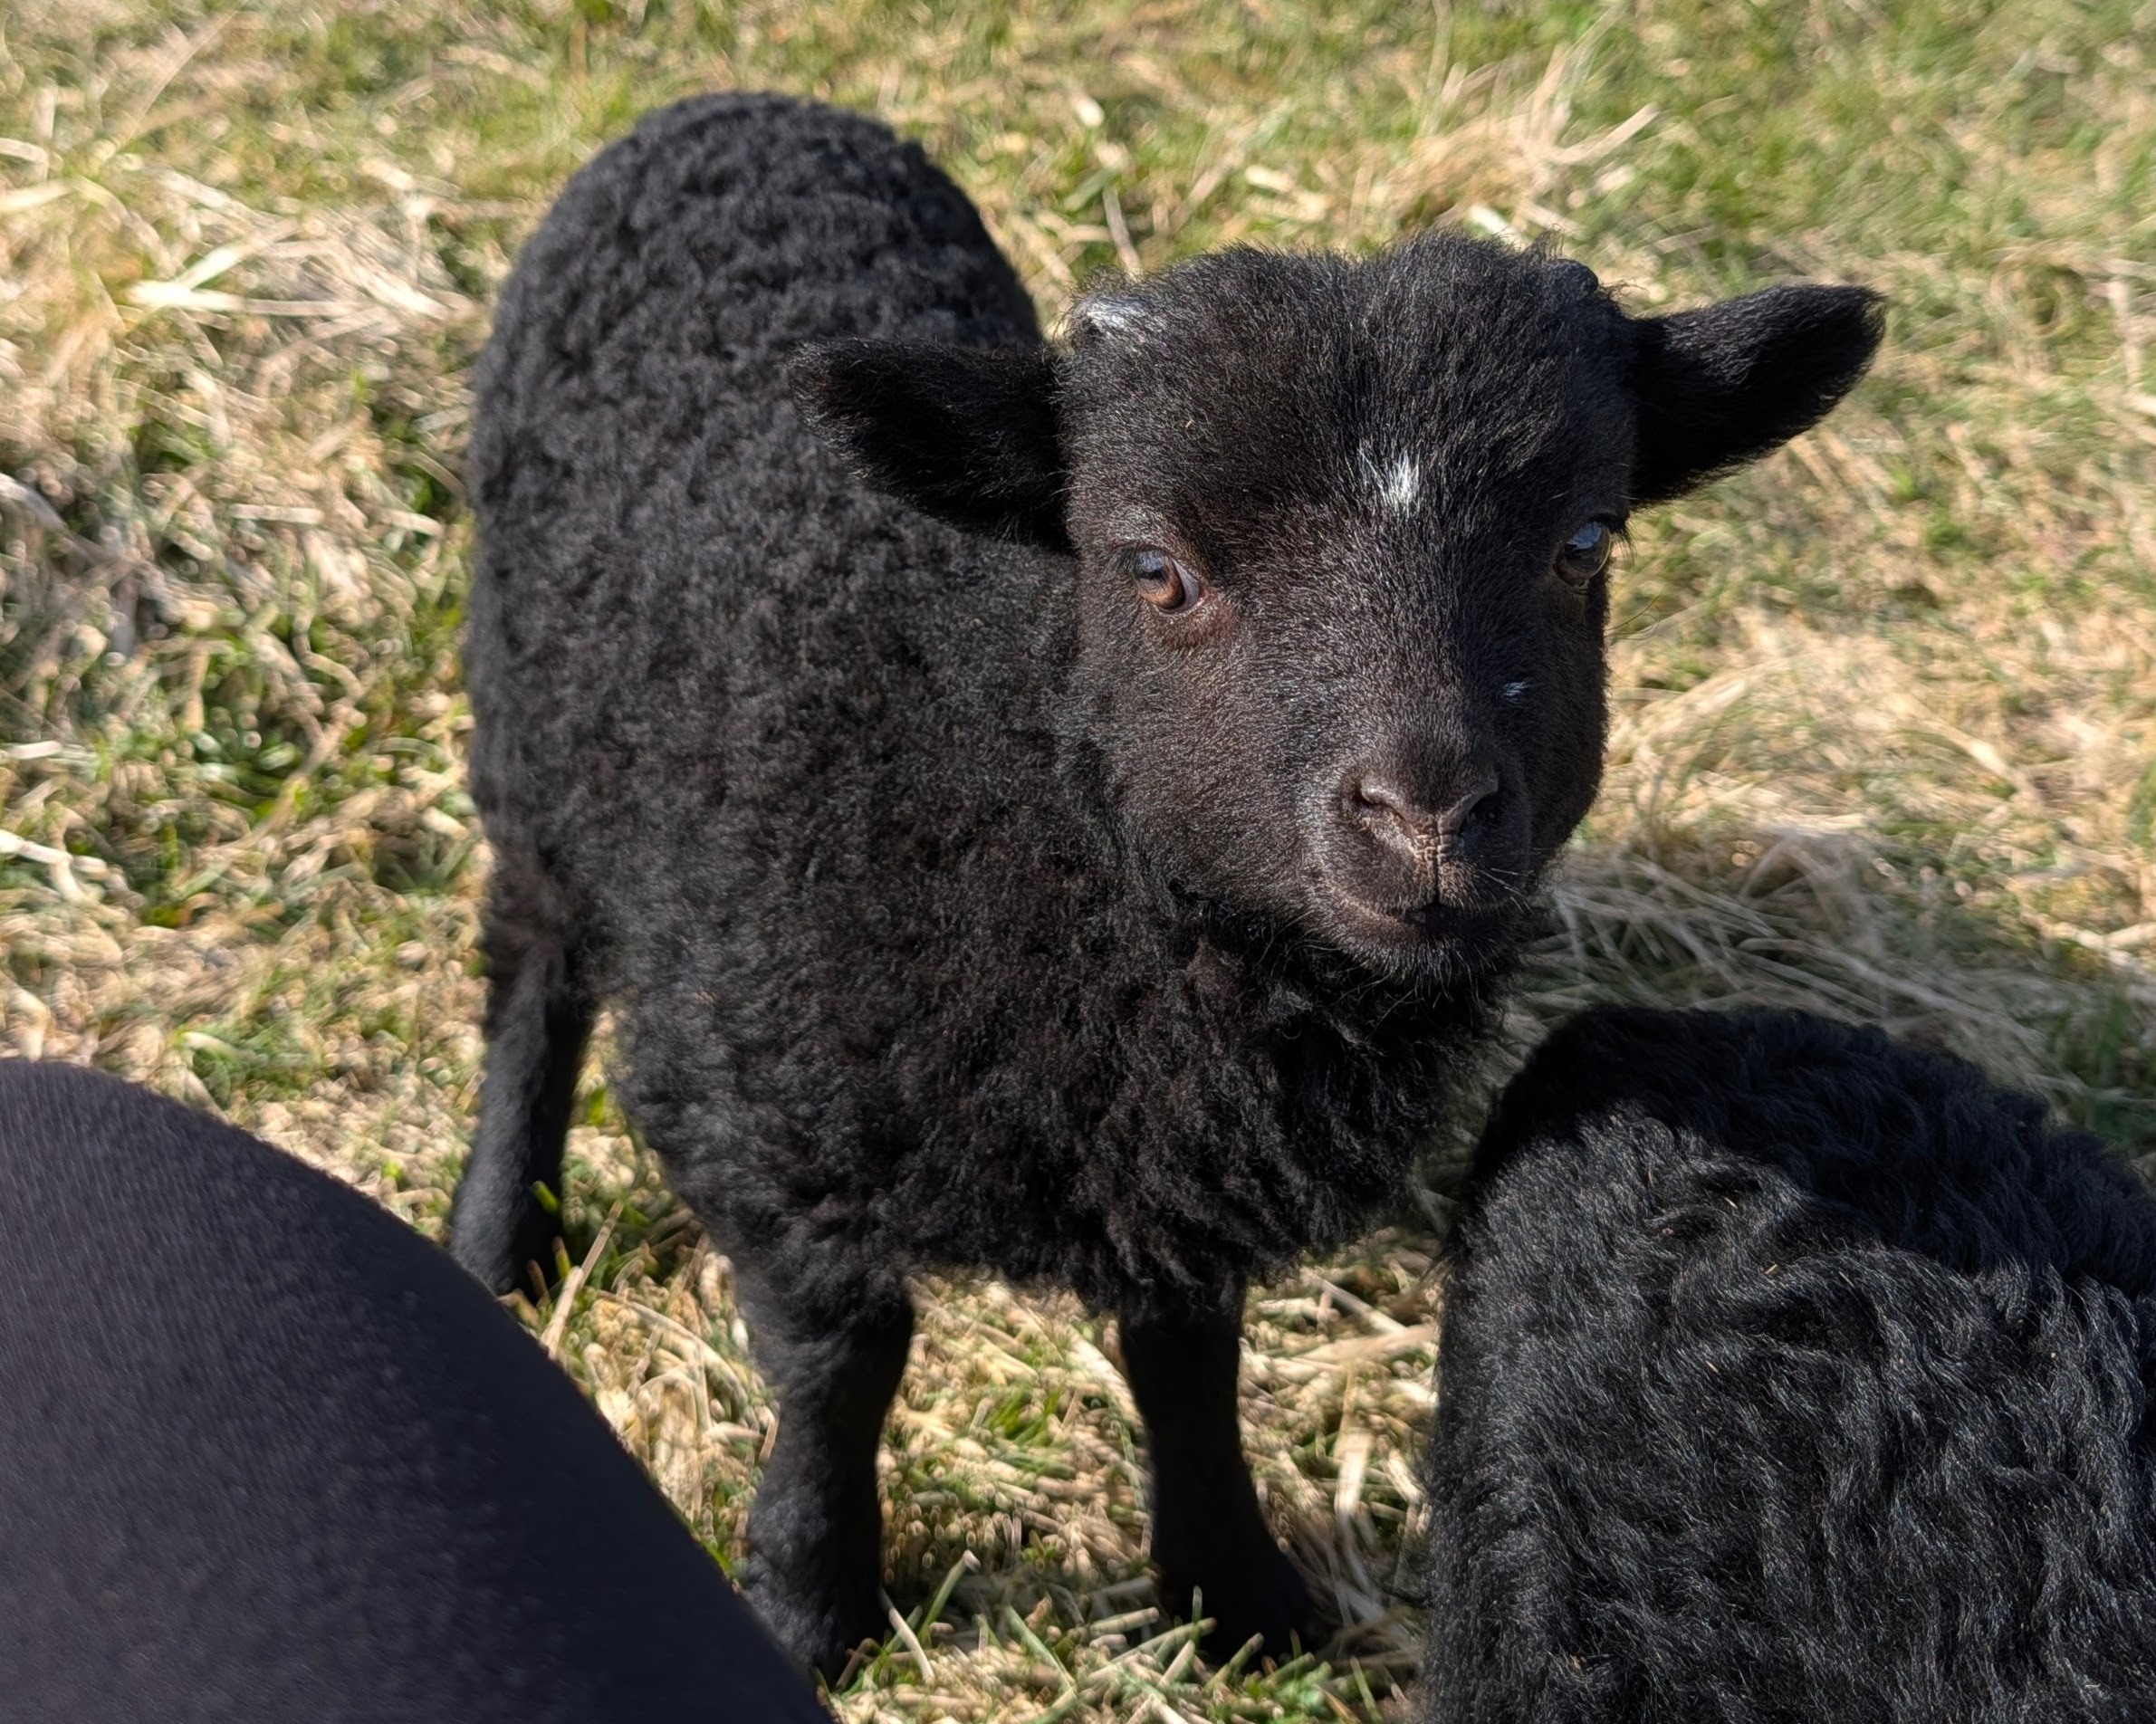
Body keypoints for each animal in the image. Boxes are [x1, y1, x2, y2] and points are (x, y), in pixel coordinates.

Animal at [449, 90, 1883, 1675]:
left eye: (1584, 543)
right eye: (1153, 567)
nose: (1427, 819)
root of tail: (736, 105)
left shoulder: (1184, 1164)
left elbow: (1185, 1362)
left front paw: (1233, 1592)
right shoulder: (770, 1110)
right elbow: (842, 1371)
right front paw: (808, 1601)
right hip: (531, 729)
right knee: (535, 975)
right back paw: (494, 1236)